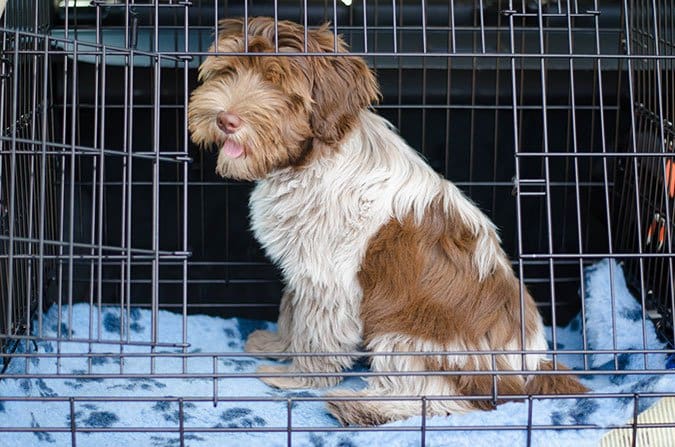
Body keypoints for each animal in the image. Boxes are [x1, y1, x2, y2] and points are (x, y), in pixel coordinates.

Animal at [187, 16, 588, 428]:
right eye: (228, 71)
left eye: (276, 81)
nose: (225, 119)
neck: (314, 155)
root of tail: (529, 369)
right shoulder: (306, 268)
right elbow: (292, 309)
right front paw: (279, 345)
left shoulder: (328, 279)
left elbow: (316, 331)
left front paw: (297, 377)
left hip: (406, 334)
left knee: (442, 399)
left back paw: (364, 407)